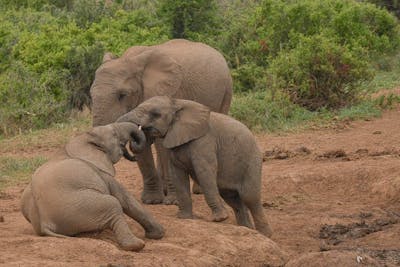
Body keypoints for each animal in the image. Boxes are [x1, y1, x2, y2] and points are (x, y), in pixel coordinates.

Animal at [19, 122, 164, 252]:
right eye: (114, 134)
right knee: (113, 204)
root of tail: (44, 224)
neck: (82, 137)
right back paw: (136, 245)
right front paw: (159, 234)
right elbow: (124, 198)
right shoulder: (101, 171)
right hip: (80, 206)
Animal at [90, 38, 233, 204]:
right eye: (91, 94)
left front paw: (173, 202)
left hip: (226, 90)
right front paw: (151, 201)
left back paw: (198, 191)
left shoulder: (169, 93)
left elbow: (164, 144)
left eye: (122, 95)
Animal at [115, 97, 272, 239]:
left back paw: (265, 235)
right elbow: (178, 175)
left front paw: (219, 219)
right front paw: (184, 218)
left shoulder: (204, 141)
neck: (178, 103)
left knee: (250, 198)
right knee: (233, 199)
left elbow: (204, 172)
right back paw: (247, 229)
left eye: (155, 114)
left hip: (252, 162)